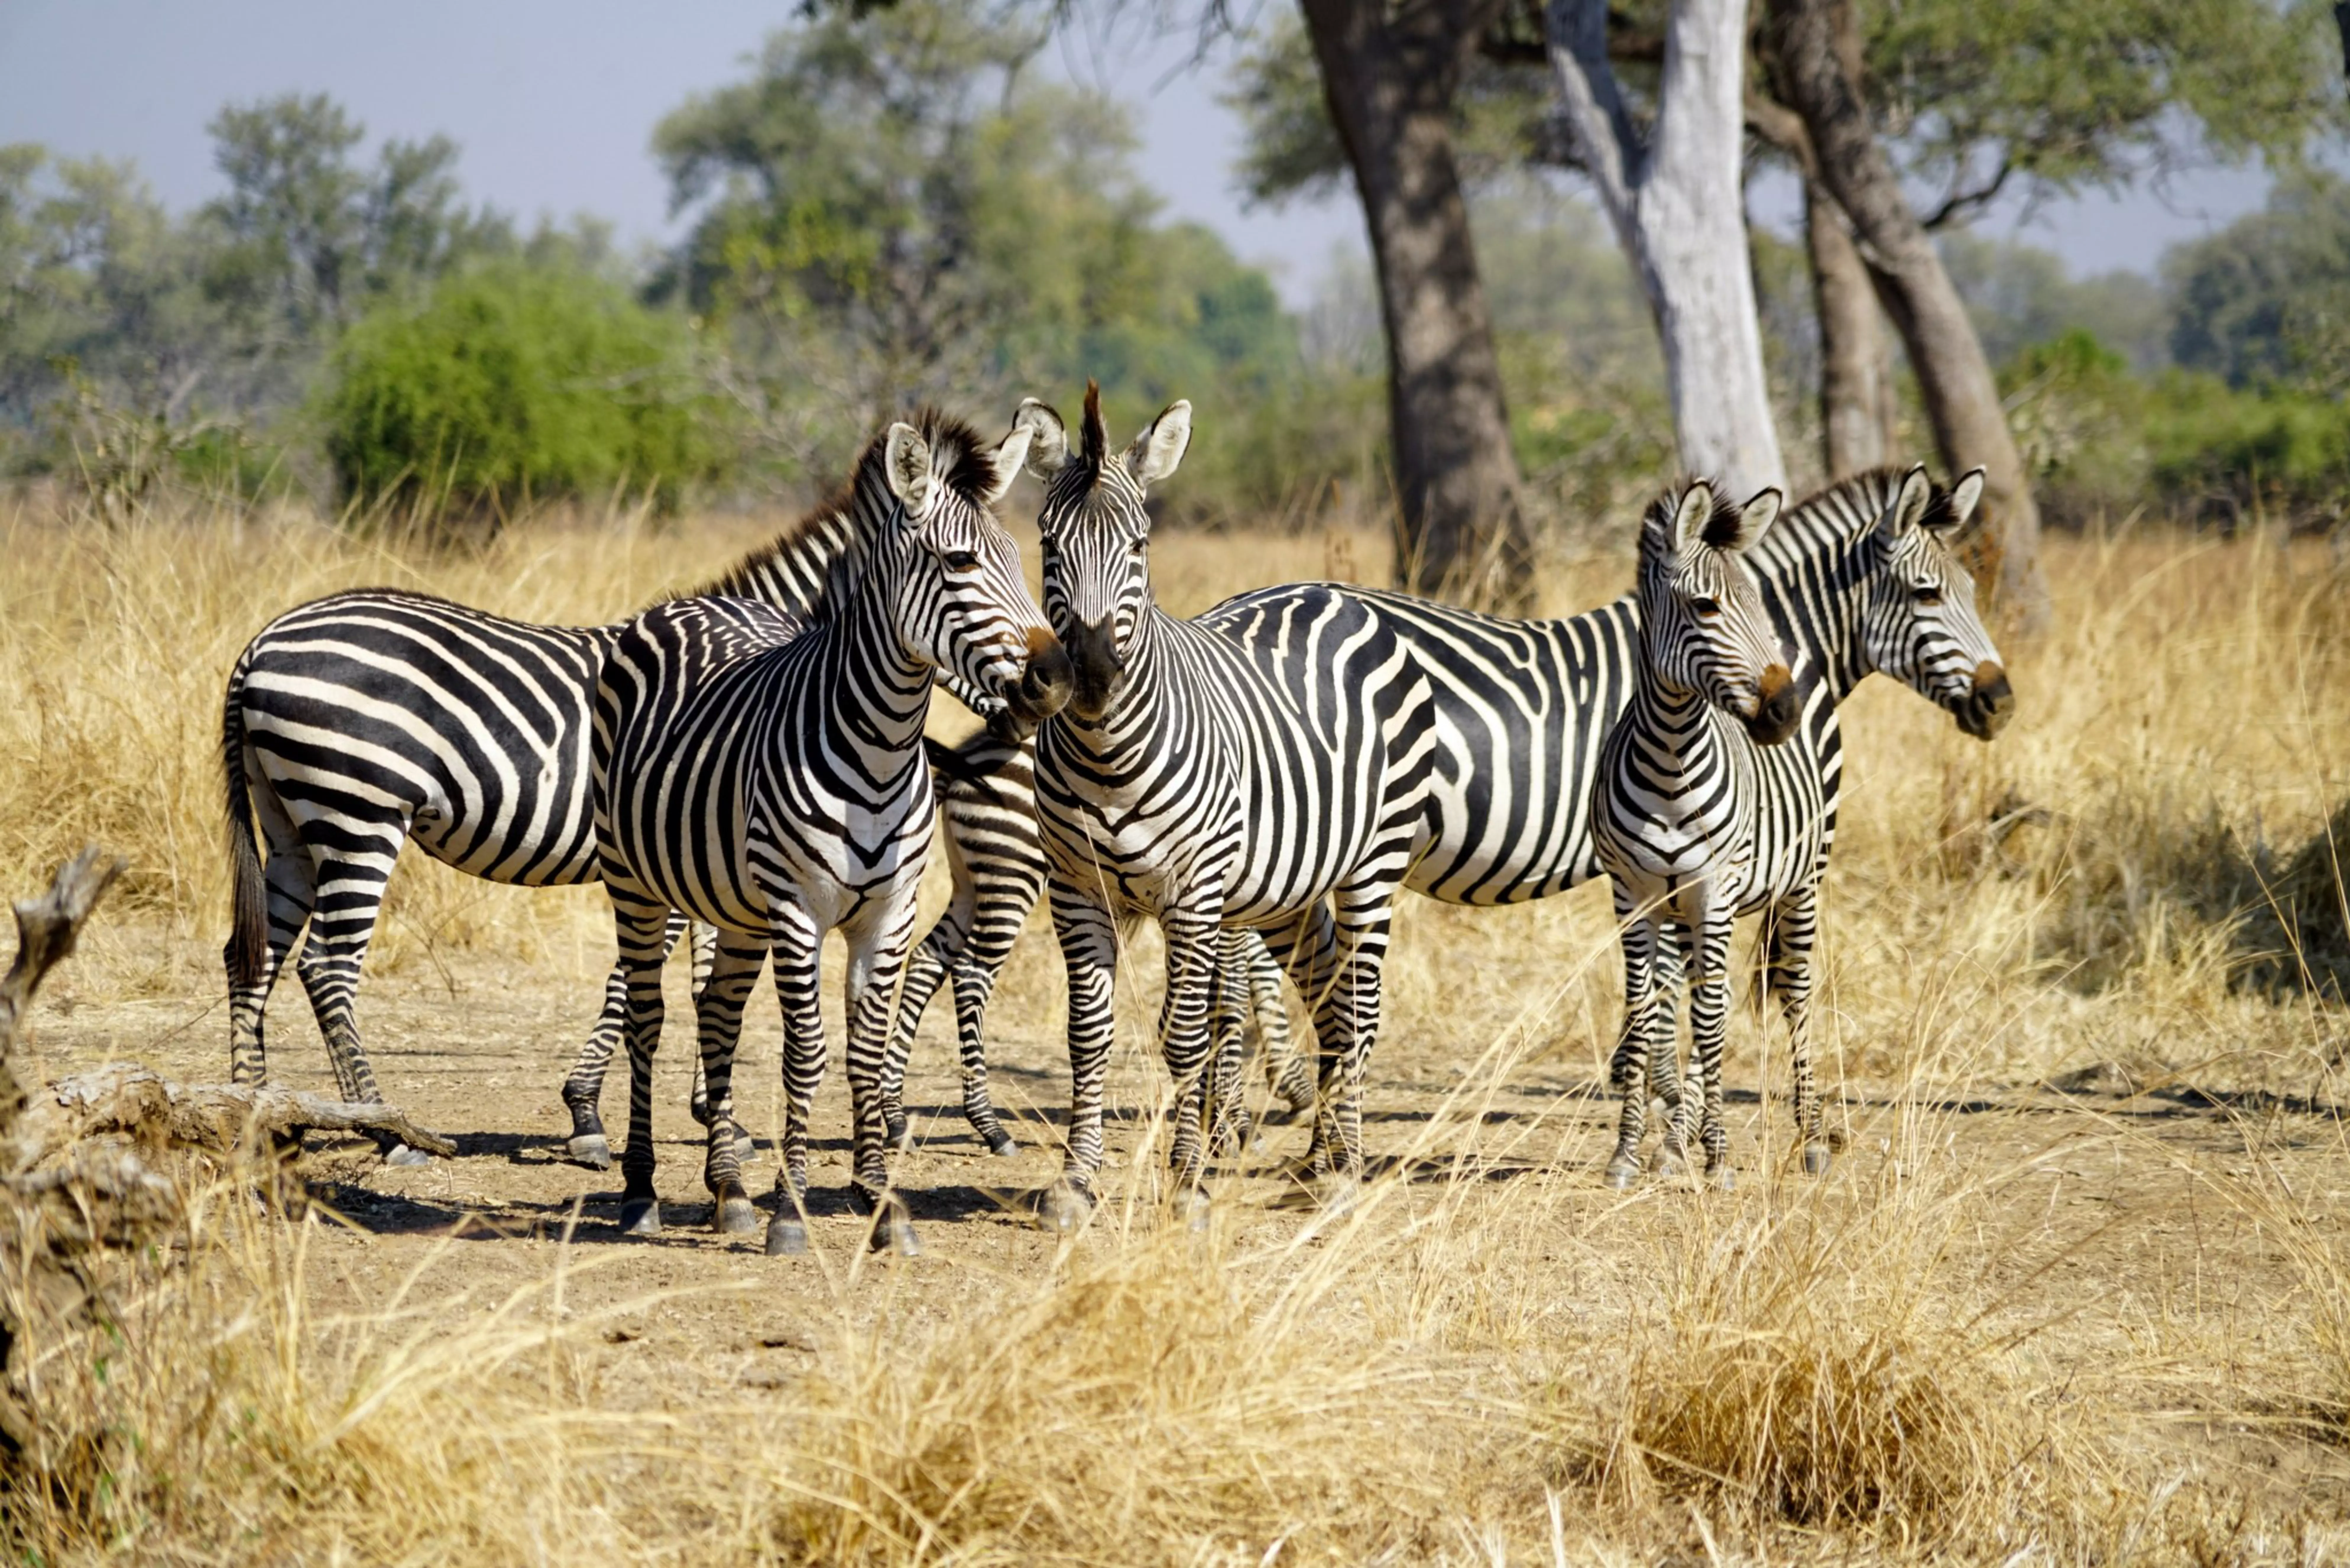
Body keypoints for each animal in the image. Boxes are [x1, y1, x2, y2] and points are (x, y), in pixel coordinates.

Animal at [591, 411, 1070, 1253]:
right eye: (959, 561)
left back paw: (729, 1189)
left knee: (717, 1014)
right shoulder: (799, 910)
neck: (882, 749)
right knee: (649, 1018)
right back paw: (642, 1190)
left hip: (736, 906)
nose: (1054, 683)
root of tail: (678, 604)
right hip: (638, 882)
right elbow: (807, 1053)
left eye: (1020, 559)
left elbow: (865, 1049)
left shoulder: (889, 910)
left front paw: (881, 1203)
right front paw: (792, 1211)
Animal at [1017, 384, 1441, 1230]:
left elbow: (1183, 1038)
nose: (1093, 676)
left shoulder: (1192, 893)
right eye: (1048, 545)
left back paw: (1345, 1173)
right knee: (1331, 1003)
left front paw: (1186, 1185)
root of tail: (1335, 593)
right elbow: (1087, 1036)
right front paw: (1076, 1182)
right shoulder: (1076, 890)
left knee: (1361, 1007)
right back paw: (1320, 1162)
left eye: (1140, 545)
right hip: (1292, 885)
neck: (1109, 757)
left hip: (1372, 865)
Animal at [1594, 477, 1837, 1187]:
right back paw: (1674, 1140)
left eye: (1756, 602)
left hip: (1802, 882)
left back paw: (1811, 1139)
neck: (1672, 757)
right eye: (1705, 606)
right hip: (1684, 908)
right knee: (1700, 993)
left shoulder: (1717, 889)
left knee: (1795, 994)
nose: (1783, 712)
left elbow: (1708, 1020)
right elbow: (1646, 1014)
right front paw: (1628, 1153)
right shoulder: (1633, 894)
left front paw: (1720, 1156)